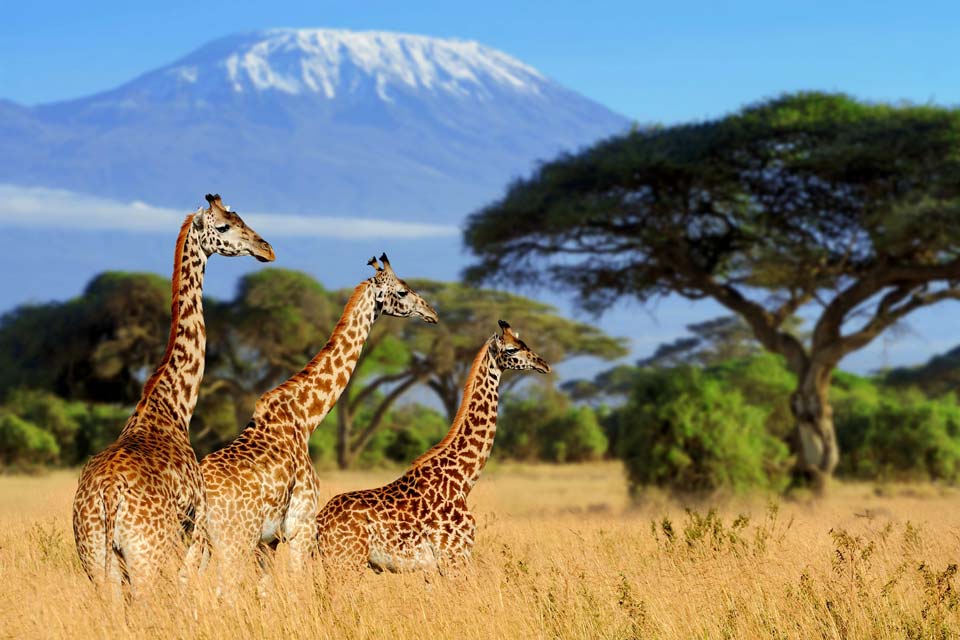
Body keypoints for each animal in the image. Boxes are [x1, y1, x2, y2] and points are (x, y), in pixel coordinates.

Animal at [70, 192, 274, 596]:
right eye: (224, 226)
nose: (267, 249)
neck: (173, 405)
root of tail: (108, 495)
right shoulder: (195, 527)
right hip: (147, 555)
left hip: (96, 559)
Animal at [193, 254, 440, 584]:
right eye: (402, 291)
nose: (432, 313)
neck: (306, 417)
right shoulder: (302, 525)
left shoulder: (269, 540)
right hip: (234, 540)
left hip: (199, 542)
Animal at [316, 322, 548, 576]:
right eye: (511, 349)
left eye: (524, 343)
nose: (543, 364)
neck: (463, 480)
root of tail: (318, 523)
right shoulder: (455, 556)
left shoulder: (436, 567)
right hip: (346, 561)